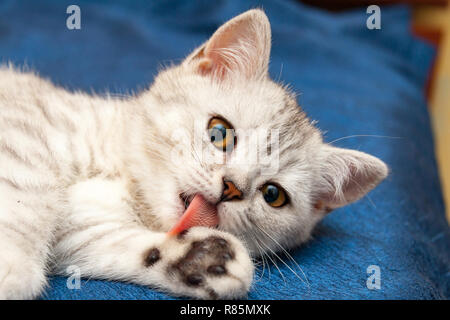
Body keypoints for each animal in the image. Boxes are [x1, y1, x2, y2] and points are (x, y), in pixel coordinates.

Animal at [0, 10, 386, 300]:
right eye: (219, 132)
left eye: (273, 195)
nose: (231, 186)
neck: (128, 181)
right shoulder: (27, 131)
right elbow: (24, 193)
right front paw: (12, 265)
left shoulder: (81, 228)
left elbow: (103, 242)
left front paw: (200, 259)